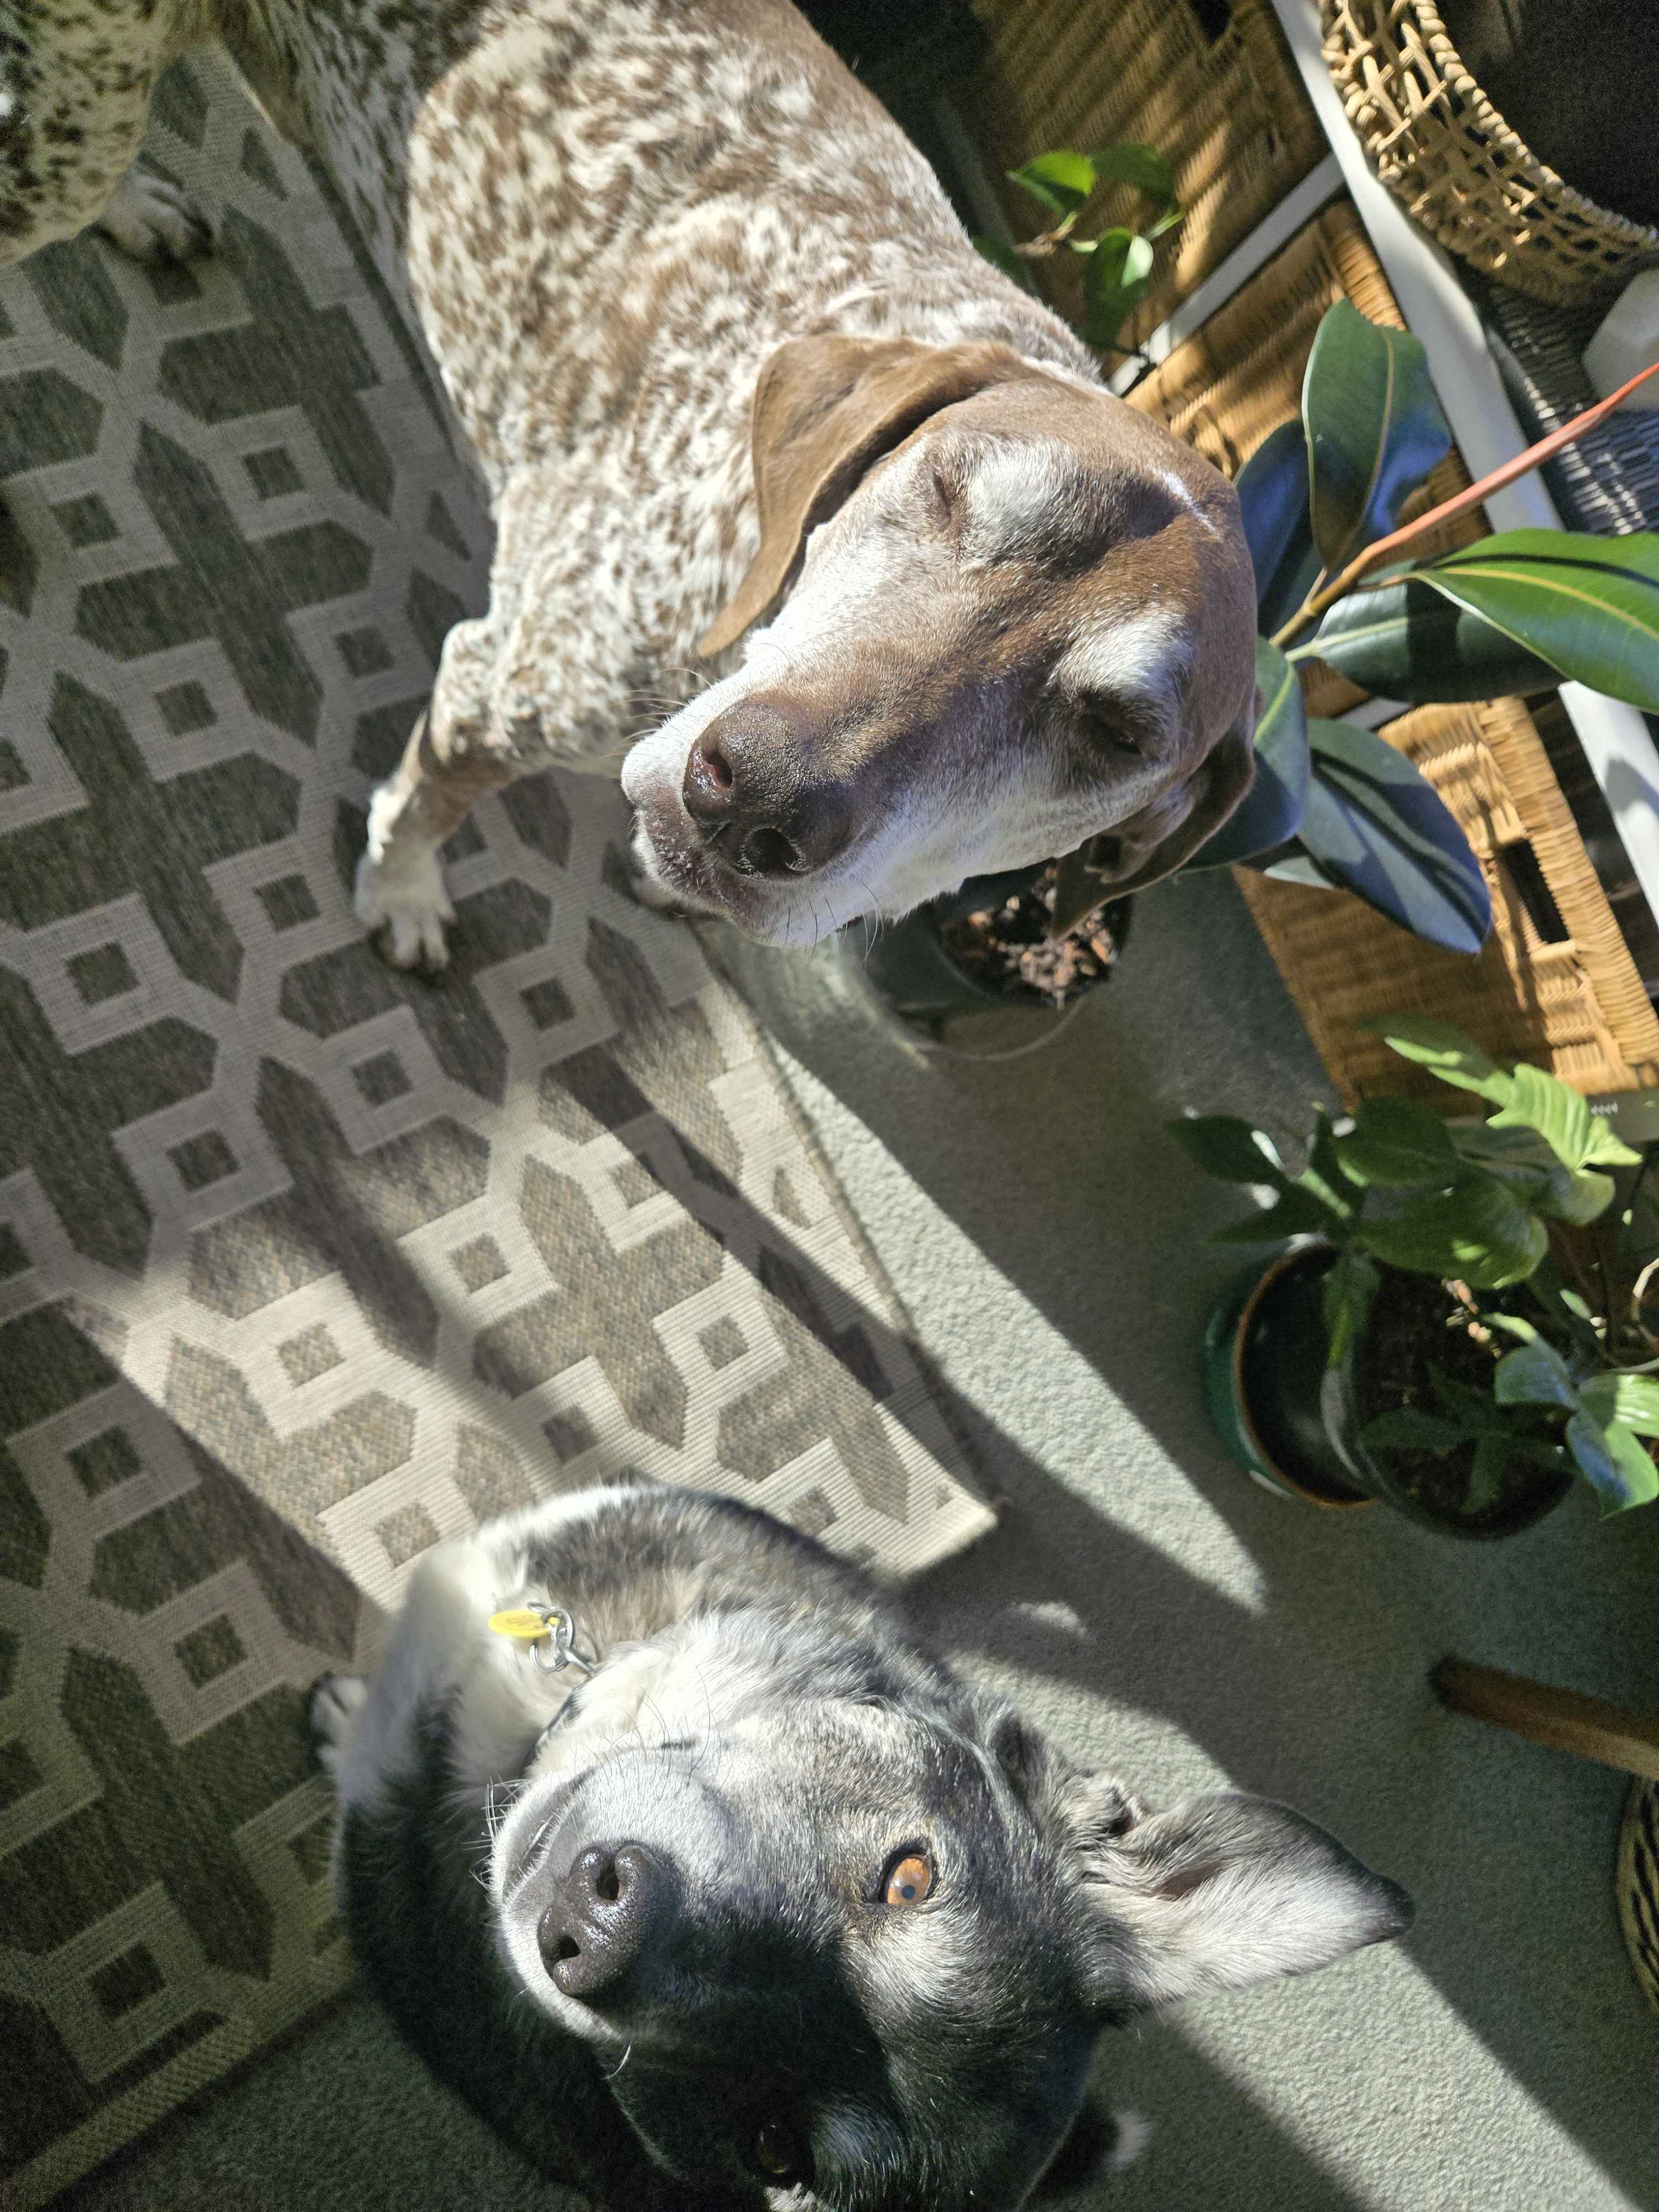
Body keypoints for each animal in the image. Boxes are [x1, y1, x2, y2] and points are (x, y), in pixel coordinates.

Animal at [1, 0, 1259, 970]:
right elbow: (416, 809)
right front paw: (402, 896)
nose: (754, 795)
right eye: (945, 487)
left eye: (1114, 733)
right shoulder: (493, 688)